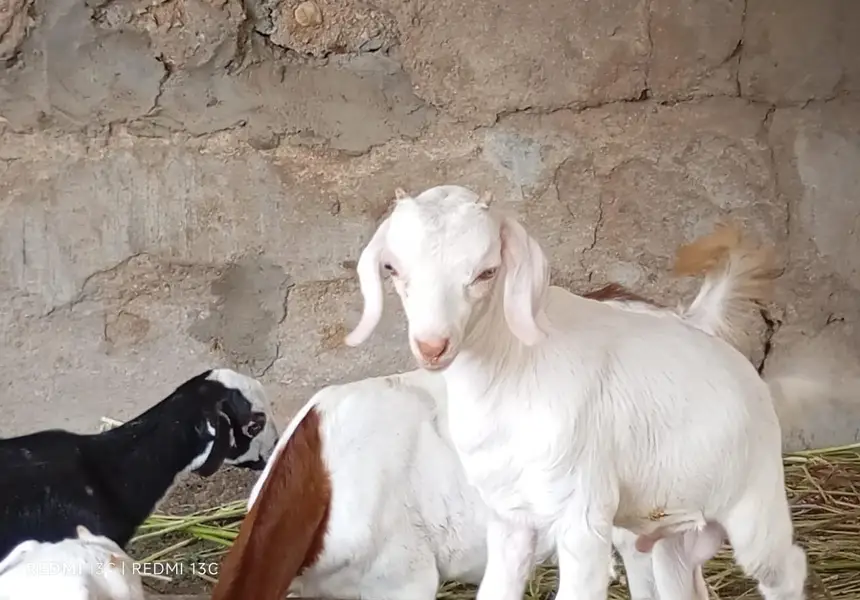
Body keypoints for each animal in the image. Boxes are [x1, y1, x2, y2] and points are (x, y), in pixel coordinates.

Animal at [344, 184, 806, 600]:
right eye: (392, 268)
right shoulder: (509, 517)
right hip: (669, 522)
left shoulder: (581, 517)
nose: (432, 346)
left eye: (486, 271)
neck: (511, 371)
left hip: (754, 503)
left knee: (786, 568)